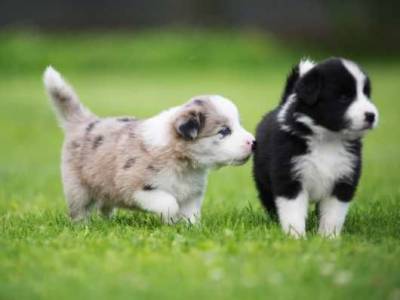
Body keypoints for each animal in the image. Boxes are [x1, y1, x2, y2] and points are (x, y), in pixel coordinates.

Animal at [43, 67, 255, 223]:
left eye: (238, 125)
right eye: (224, 131)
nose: (253, 142)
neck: (182, 161)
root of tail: (85, 121)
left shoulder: (192, 194)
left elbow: (190, 214)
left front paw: (190, 229)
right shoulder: (138, 187)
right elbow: (169, 203)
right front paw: (171, 221)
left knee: (105, 206)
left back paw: (107, 222)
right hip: (77, 187)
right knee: (80, 210)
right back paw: (83, 226)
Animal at [253, 57, 378, 238]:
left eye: (367, 95)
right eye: (344, 97)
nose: (371, 115)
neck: (328, 139)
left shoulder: (344, 179)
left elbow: (333, 214)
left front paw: (328, 237)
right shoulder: (289, 177)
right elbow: (293, 212)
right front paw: (296, 236)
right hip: (263, 181)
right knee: (270, 202)